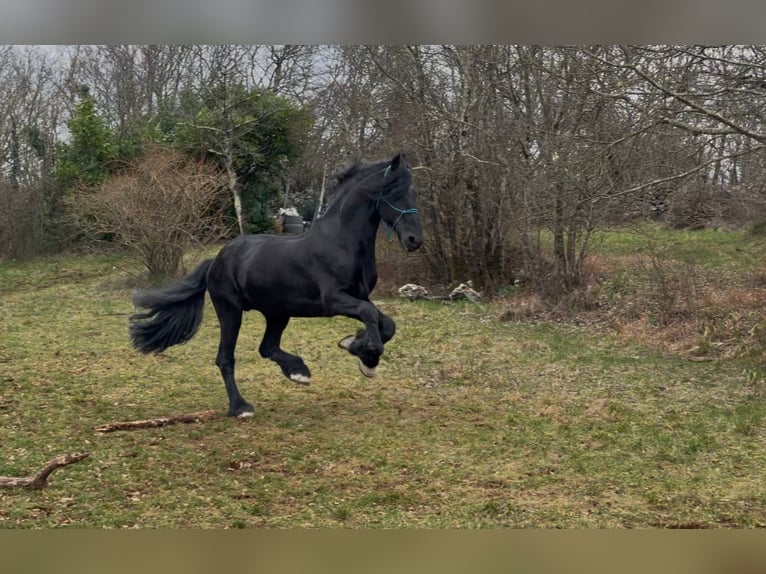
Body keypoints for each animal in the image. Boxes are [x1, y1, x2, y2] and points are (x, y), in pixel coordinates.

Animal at [128, 153, 423, 417]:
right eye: (393, 192)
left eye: (413, 192)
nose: (414, 240)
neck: (341, 242)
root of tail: (216, 260)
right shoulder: (334, 299)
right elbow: (370, 315)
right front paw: (365, 353)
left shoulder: (361, 295)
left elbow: (386, 323)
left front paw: (359, 349)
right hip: (230, 311)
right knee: (226, 358)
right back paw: (241, 408)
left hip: (278, 313)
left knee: (267, 348)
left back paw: (298, 372)